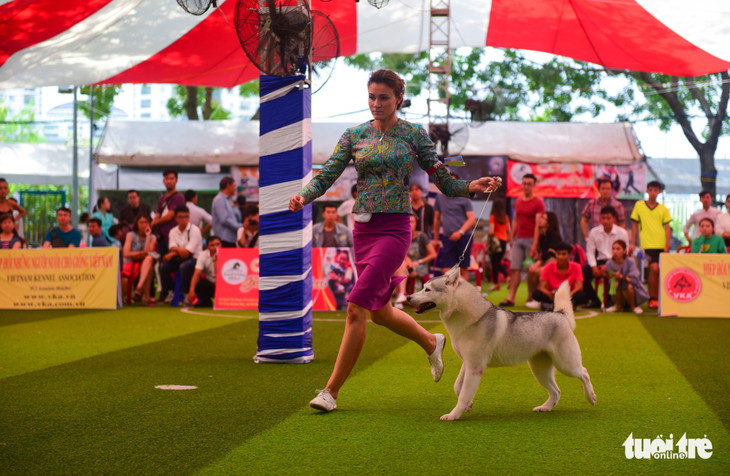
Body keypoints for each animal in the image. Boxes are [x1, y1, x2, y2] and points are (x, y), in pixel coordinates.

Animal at [406, 268, 596, 420]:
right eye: (422, 286)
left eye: (427, 289)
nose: (408, 296)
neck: (470, 317)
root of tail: (561, 314)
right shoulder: (468, 363)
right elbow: (458, 387)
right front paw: (469, 405)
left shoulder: (475, 367)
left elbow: (463, 394)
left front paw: (454, 415)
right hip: (540, 370)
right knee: (556, 391)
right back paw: (545, 407)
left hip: (566, 364)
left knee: (584, 373)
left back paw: (591, 396)